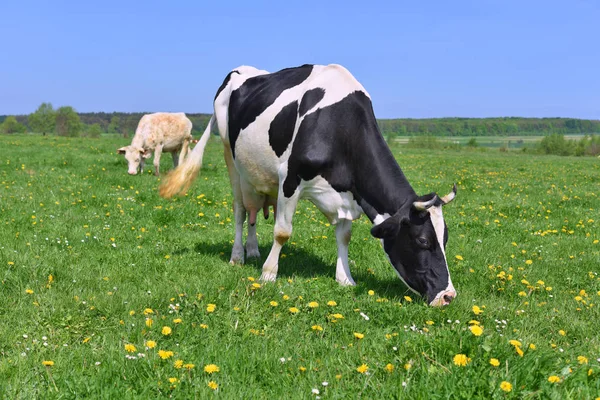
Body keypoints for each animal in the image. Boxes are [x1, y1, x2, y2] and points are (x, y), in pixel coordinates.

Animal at [162, 64, 458, 306]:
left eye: (445, 238)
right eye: (422, 240)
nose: (448, 295)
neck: (338, 124)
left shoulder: (347, 194)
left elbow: (344, 236)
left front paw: (345, 278)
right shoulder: (289, 178)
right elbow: (282, 232)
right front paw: (268, 275)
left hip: (258, 176)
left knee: (254, 211)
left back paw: (253, 250)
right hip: (230, 158)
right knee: (240, 211)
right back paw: (238, 256)